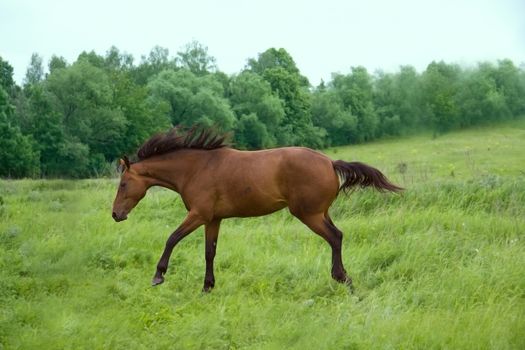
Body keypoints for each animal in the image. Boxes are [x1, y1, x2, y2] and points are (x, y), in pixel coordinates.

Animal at [111, 127, 402, 292]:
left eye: (123, 183)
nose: (115, 214)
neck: (196, 169)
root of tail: (330, 163)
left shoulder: (198, 215)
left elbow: (172, 238)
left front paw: (158, 276)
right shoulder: (213, 219)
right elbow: (209, 252)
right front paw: (207, 287)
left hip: (307, 215)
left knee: (335, 237)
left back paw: (342, 279)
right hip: (320, 213)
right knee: (337, 236)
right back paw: (346, 280)